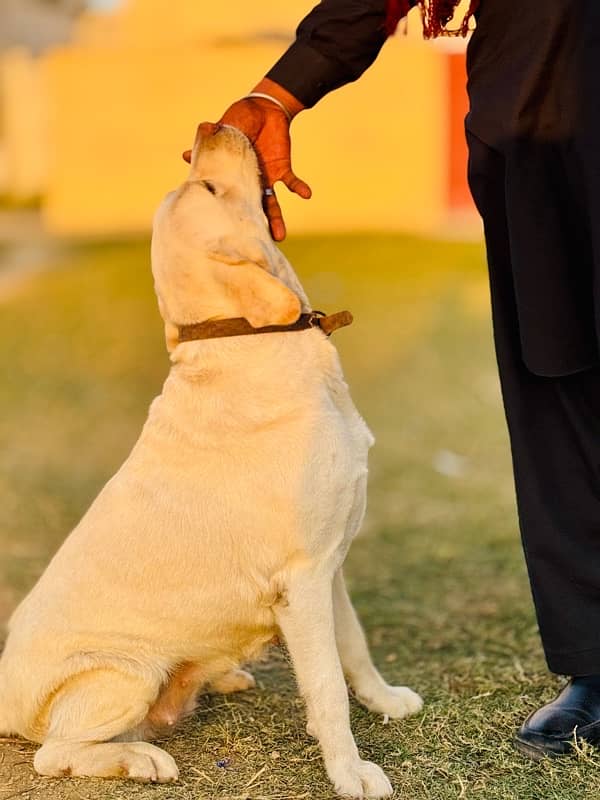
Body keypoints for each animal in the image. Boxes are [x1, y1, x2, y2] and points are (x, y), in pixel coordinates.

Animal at [0, 122, 422, 796]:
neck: (241, 334)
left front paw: (384, 701)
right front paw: (351, 772)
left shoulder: (330, 565)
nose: (210, 126)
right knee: (57, 752)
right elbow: (327, 685)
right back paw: (139, 759)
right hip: (122, 673)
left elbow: (352, 647)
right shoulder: (304, 578)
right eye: (209, 187)